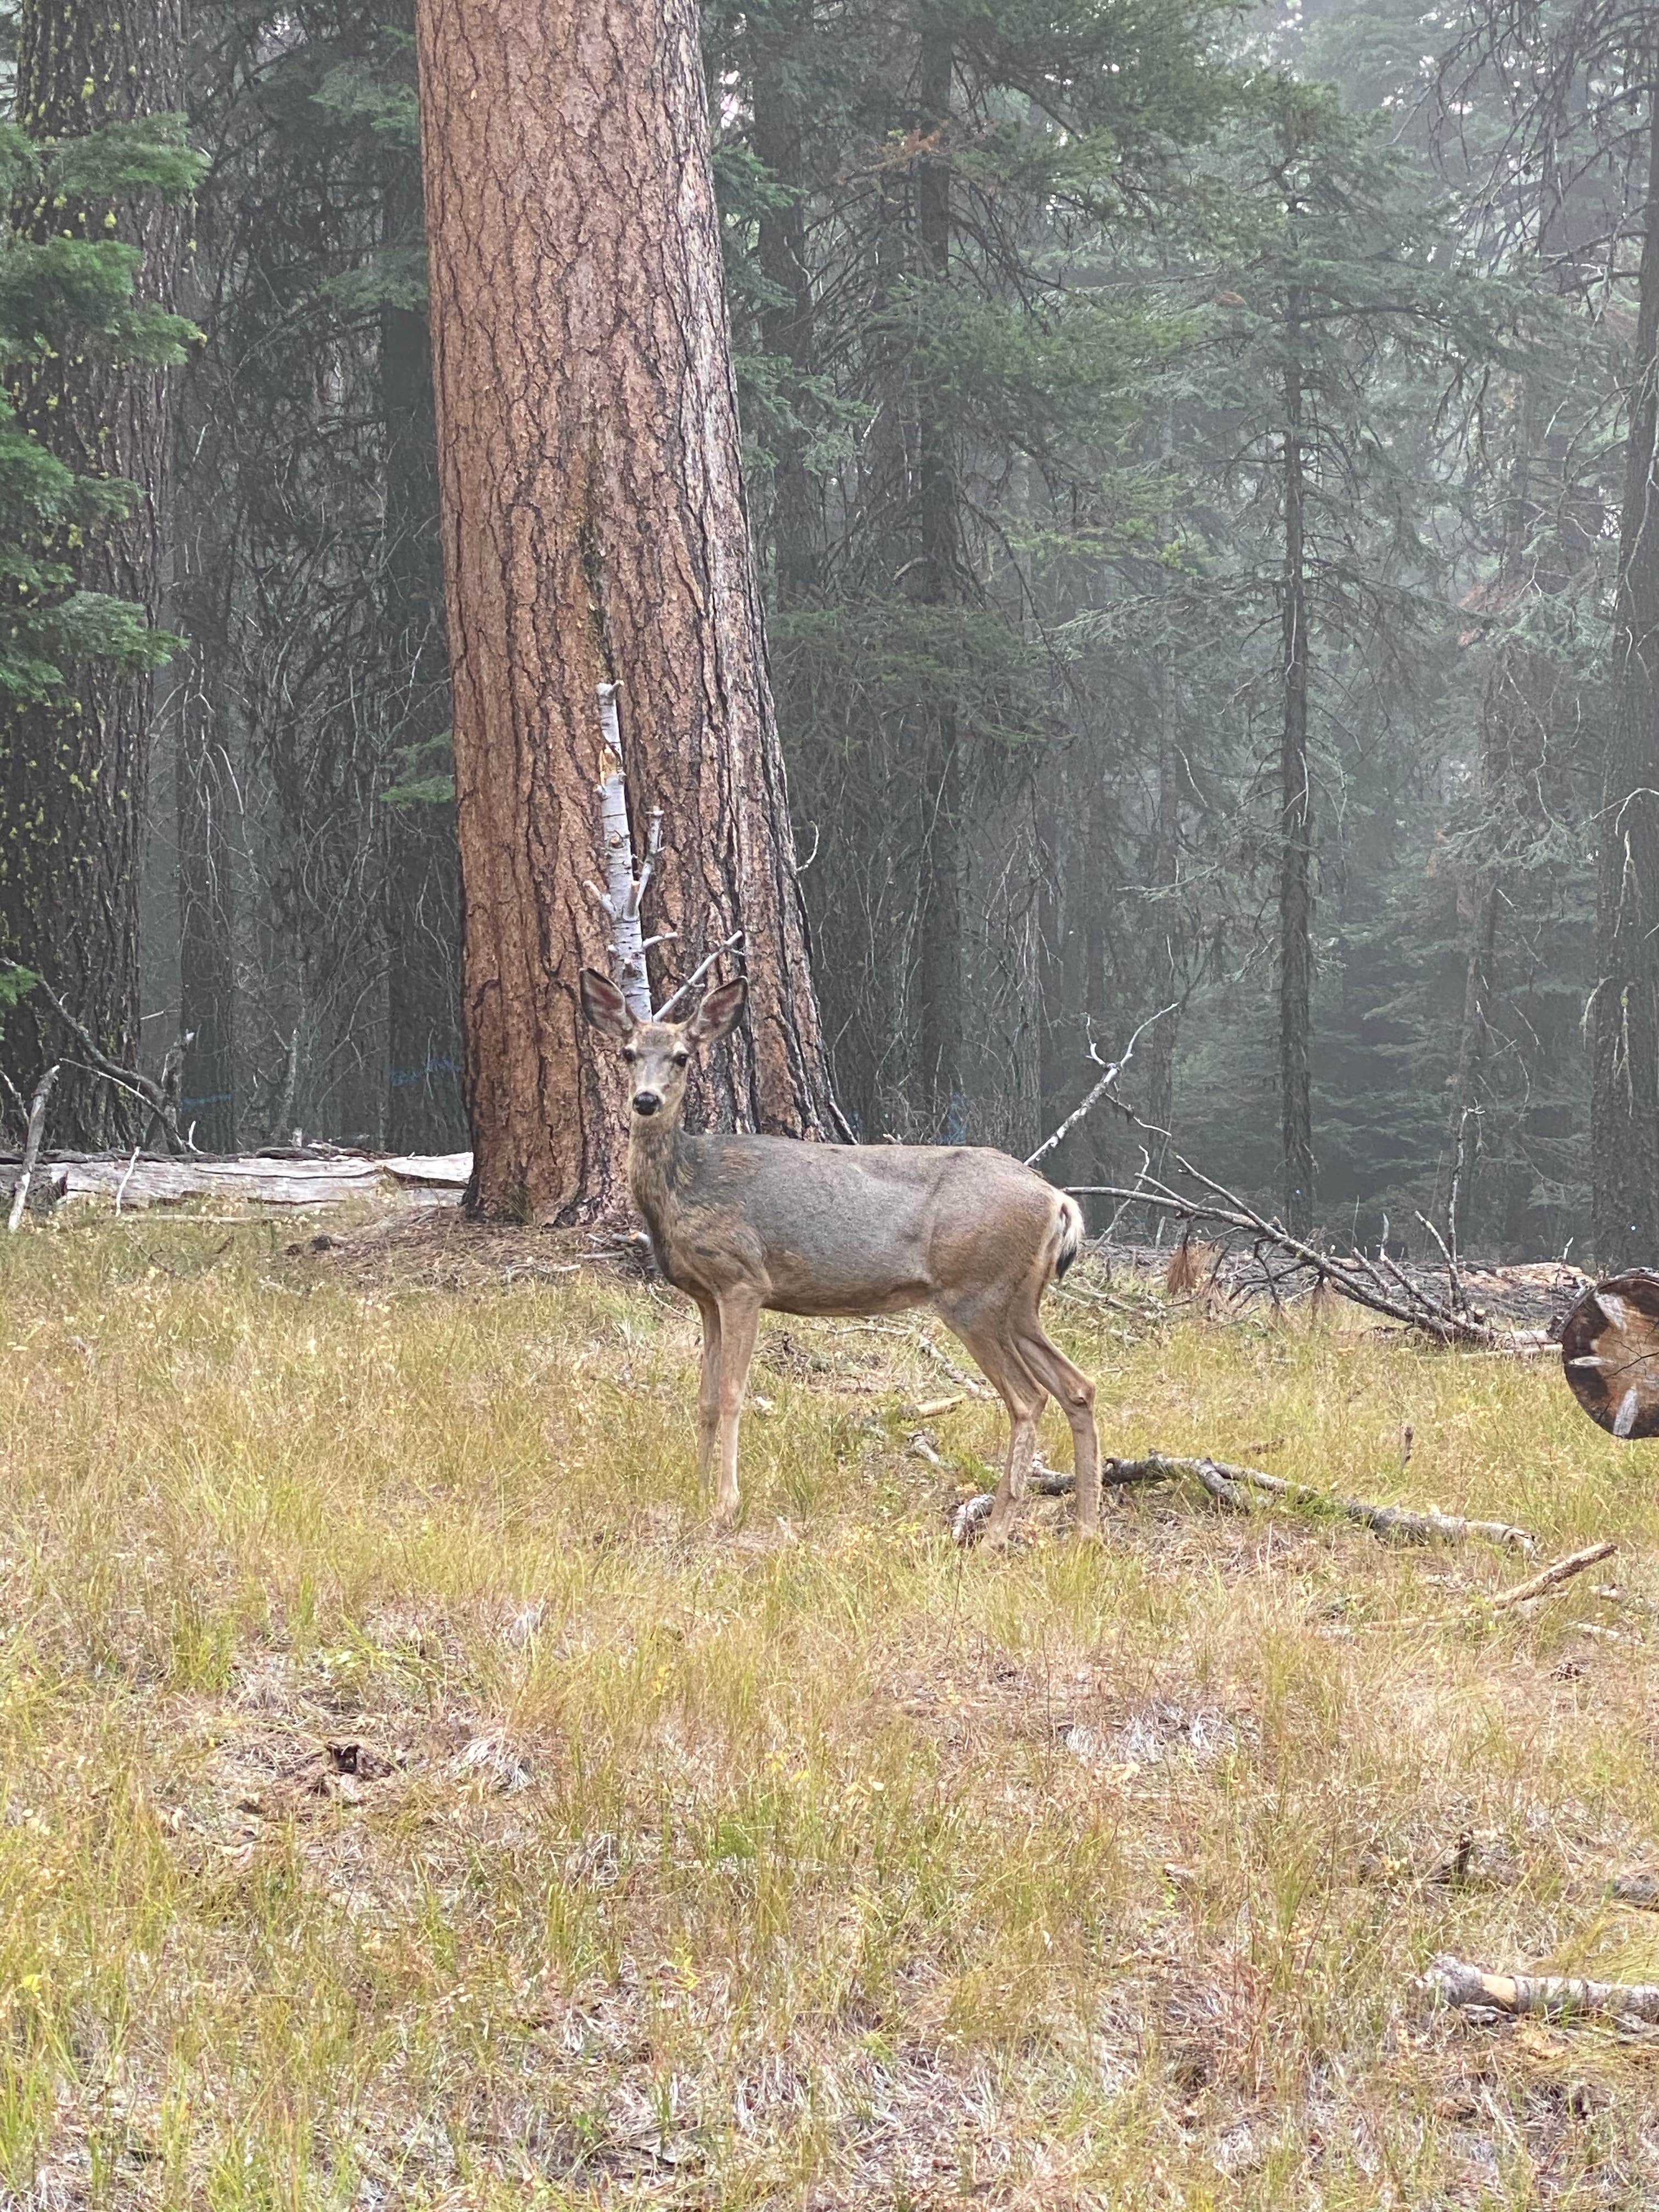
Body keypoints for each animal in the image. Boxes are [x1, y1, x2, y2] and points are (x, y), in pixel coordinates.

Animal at [579, 969, 1097, 1539]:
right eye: (628, 1052)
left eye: (681, 1057)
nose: (646, 1101)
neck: (686, 1186)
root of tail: (1059, 1200)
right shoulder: (705, 1296)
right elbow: (707, 1399)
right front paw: (696, 1495)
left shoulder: (742, 1279)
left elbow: (734, 1393)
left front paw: (726, 1507)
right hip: (1019, 1300)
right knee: (1078, 1386)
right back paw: (1086, 1529)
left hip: (975, 1293)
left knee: (1029, 1399)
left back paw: (997, 1534)